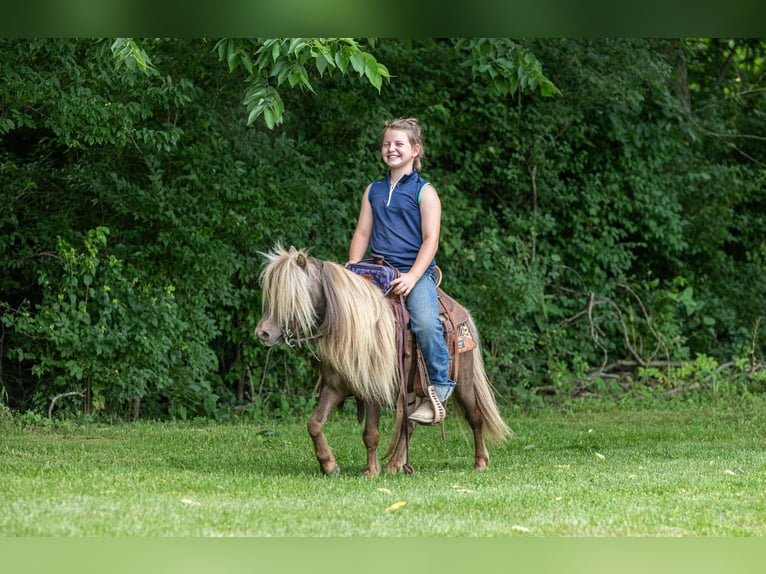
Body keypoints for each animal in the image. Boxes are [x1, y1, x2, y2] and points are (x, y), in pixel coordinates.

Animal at [254, 244, 511, 477]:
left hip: (463, 381)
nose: (263, 334)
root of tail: (460, 312)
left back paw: (480, 462)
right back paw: (395, 465)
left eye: (291, 298)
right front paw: (329, 465)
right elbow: (314, 424)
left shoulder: (373, 390)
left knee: (474, 416)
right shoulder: (335, 386)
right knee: (410, 423)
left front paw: (370, 472)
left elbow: (370, 434)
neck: (352, 327)